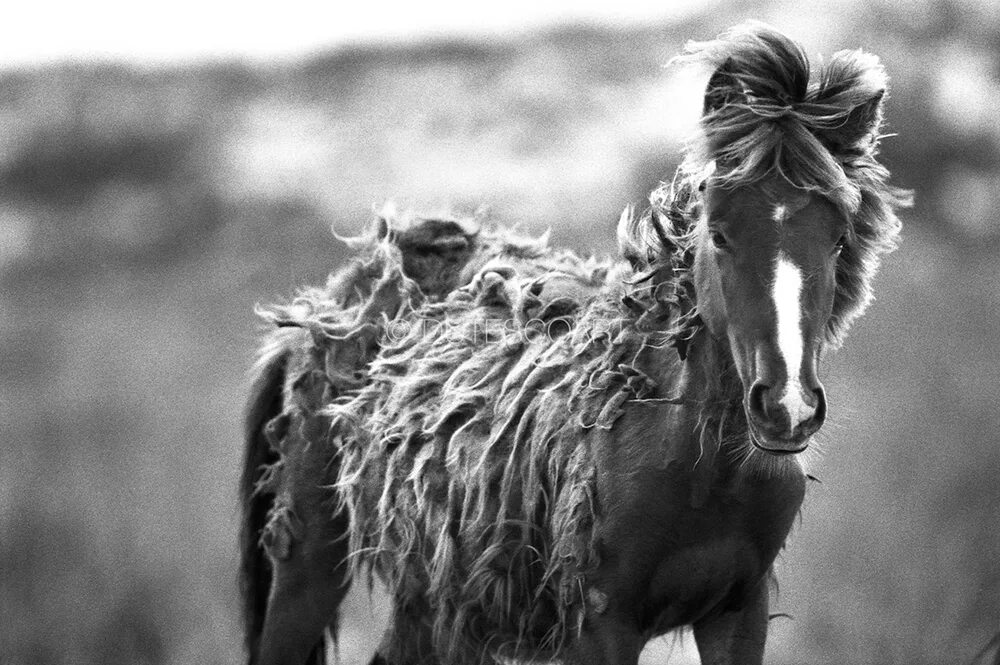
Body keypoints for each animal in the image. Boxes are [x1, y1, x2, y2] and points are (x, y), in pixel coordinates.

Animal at [238, 20, 912, 664]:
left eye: (837, 238)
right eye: (719, 233)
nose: (787, 408)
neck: (698, 469)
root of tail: (332, 301)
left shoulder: (736, 616)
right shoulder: (601, 625)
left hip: (434, 602)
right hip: (308, 570)